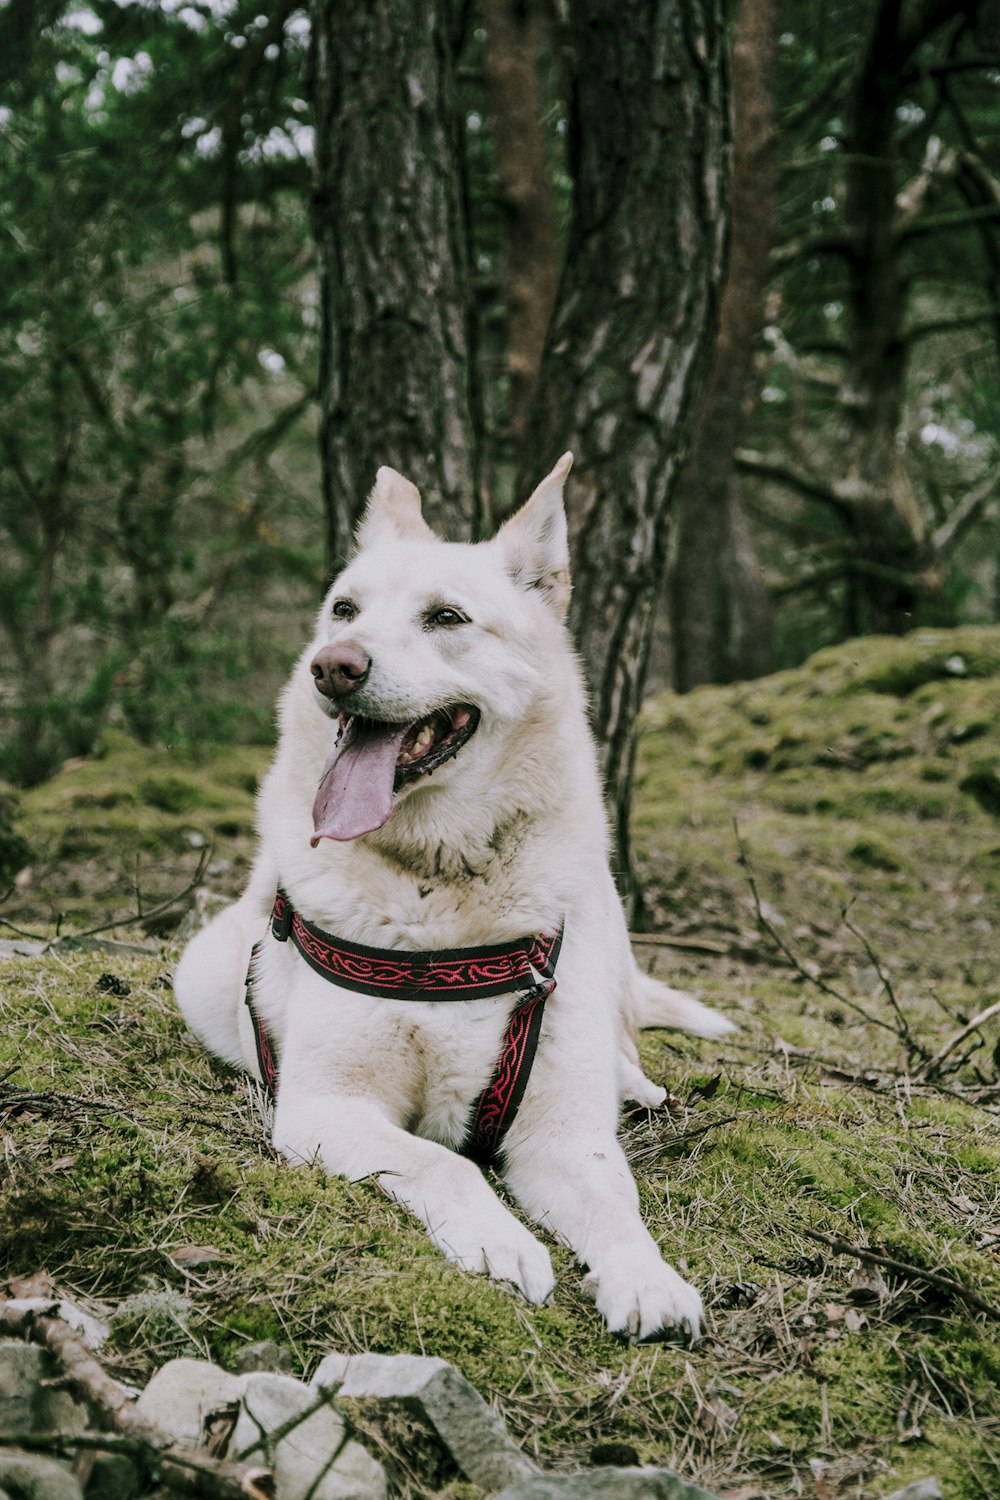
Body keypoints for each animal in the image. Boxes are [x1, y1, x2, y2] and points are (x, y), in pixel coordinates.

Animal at [176, 453, 731, 1338]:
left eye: (446, 617)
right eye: (344, 610)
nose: (334, 664)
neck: (439, 882)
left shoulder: (561, 1133)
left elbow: (616, 1203)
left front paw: (647, 1278)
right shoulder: (327, 1107)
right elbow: (444, 1163)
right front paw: (501, 1242)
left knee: (623, 1038)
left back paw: (635, 1083)